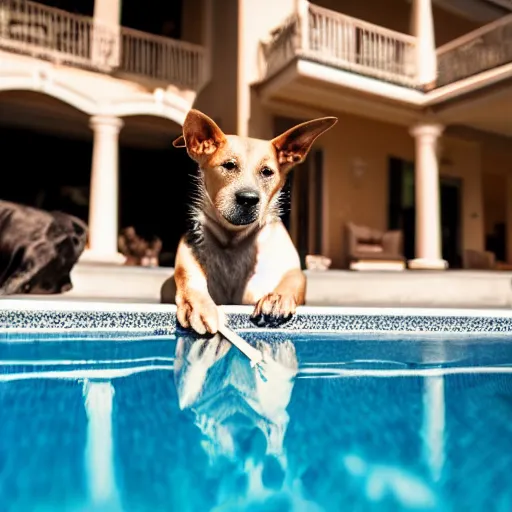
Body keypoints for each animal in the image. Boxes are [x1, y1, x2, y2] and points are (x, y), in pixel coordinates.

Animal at [160, 109, 336, 334]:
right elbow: (189, 280)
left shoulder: (291, 270)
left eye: (267, 171)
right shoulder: (187, 263)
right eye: (229, 165)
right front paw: (197, 306)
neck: (233, 240)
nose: (248, 198)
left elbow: (293, 279)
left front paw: (278, 298)